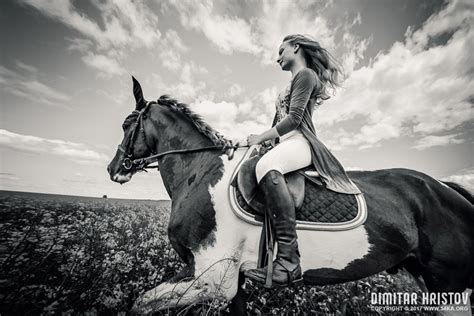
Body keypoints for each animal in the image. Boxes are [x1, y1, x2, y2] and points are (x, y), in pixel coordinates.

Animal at [107, 78, 474, 314]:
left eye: (126, 124)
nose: (114, 168)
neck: (200, 171)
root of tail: (447, 190)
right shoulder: (230, 281)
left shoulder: (211, 279)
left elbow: (140, 304)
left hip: (449, 286)